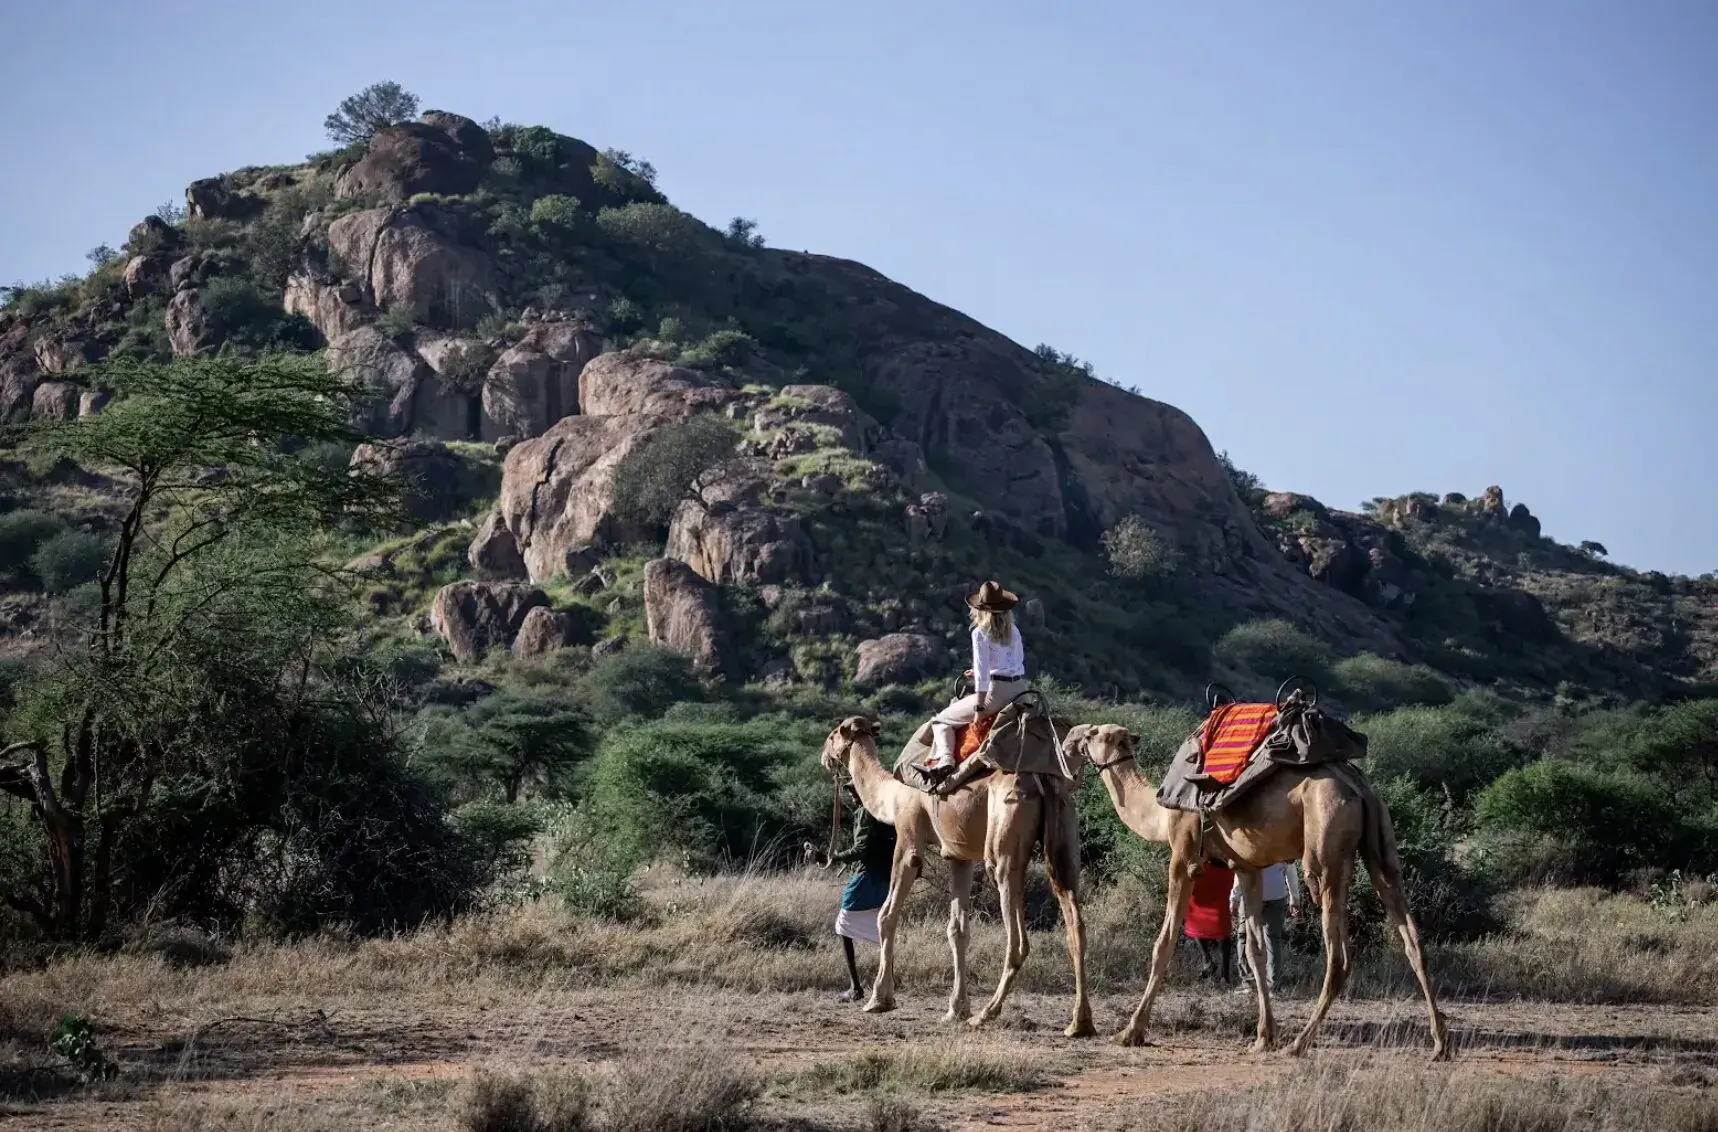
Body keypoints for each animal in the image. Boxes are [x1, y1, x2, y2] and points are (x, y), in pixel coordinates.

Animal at [818, 716, 1094, 1037]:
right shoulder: (959, 856)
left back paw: (987, 1013)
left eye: (834, 734)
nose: (825, 757)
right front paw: (955, 1010)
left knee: (1017, 938)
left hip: (1004, 843)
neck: (892, 795)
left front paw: (880, 999)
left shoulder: (908, 836)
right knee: (1076, 925)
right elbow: (958, 930)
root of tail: (1043, 781)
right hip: (1065, 835)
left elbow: (886, 915)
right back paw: (1080, 1022)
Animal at [1063, 723, 1450, 1060]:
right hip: (1380, 842)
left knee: (1338, 954)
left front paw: (1131, 1031)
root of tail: (1358, 787)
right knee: (1413, 938)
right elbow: (1255, 949)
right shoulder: (1245, 866)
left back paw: (1300, 1043)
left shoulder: (1184, 855)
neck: (1160, 813)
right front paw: (1264, 1036)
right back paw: (1440, 1044)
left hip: (1326, 848)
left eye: (1093, 733)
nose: (1068, 740)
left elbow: (1165, 941)